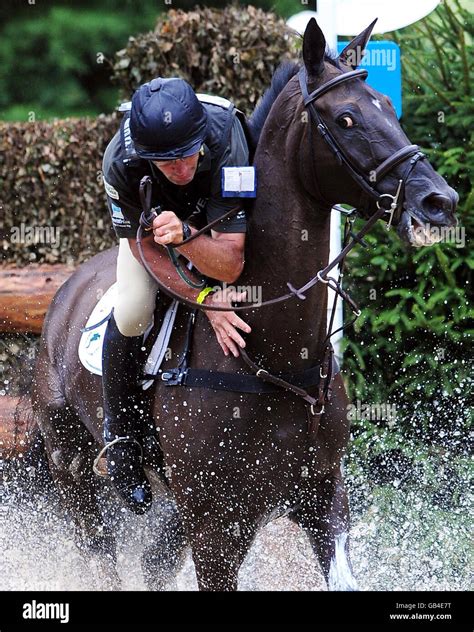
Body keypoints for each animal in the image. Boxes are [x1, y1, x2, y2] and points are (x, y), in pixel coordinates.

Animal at [31, 21, 458, 592]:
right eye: (346, 118)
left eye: (389, 107)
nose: (439, 201)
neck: (276, 357)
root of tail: (65, 291)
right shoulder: (215, 527)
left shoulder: (322, 495)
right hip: (73, 466)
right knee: (101, 554)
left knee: (153, 564)